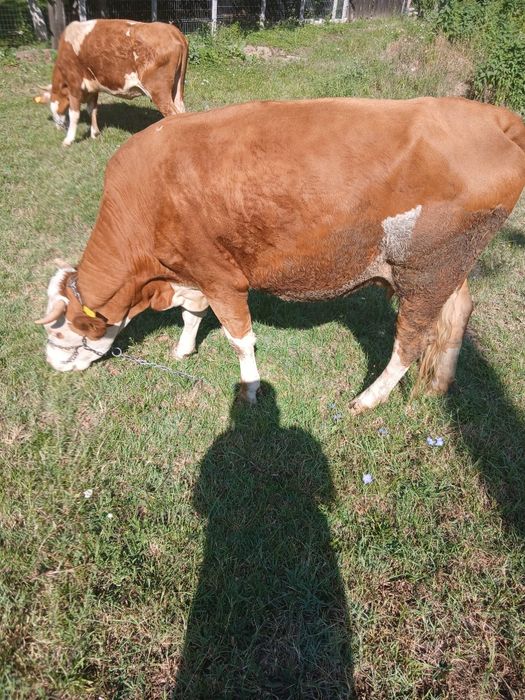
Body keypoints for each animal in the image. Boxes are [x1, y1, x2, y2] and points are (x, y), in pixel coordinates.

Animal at [35, 19, 188, 146]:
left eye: (50, 101)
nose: (58, 127)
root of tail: (173, 31)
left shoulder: (75, 84)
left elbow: (74, 114)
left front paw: (68, 139)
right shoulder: (93, 87)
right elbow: (92, 109)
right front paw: (94, 133)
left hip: (158, 91)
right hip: (177, 88)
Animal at [36, 97, 525, 413]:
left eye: (60, 333)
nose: (51, 364)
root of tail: (489, 116)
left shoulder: (221, 277)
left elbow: (240, 338)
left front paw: (250, 391)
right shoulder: (193, 272)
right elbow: (193, 315)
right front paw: (183, 349)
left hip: (423, 273)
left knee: (412, 339)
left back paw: (369, 400)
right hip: (452, 267)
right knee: (459, 312)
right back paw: (437, 387)